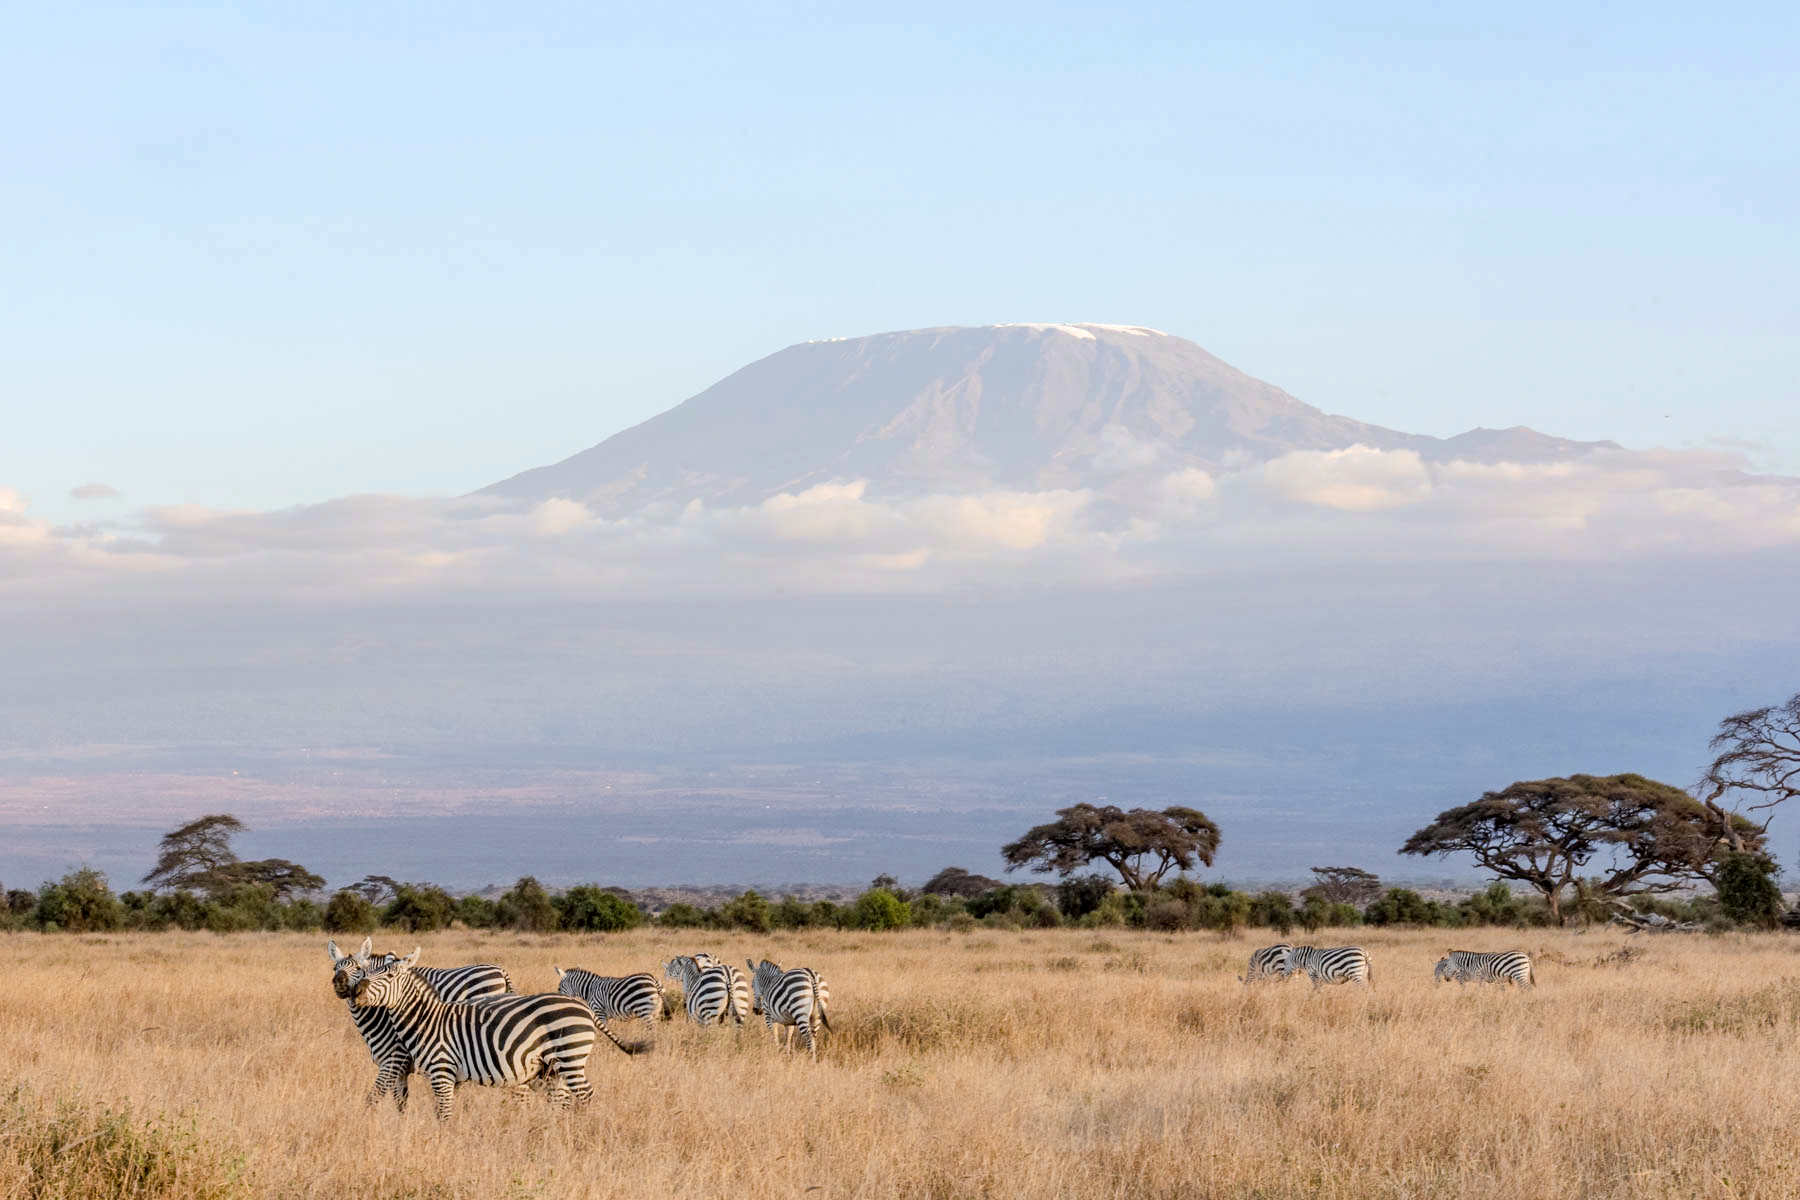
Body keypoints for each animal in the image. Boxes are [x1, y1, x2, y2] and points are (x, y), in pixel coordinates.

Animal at [325, 938, 514, 1113]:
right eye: (334, 968)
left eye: (358, 969)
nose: (339, 981)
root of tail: (502, 972)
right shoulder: (401, 1070)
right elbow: (401, 1103)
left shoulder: (395, 1059)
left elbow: (373, 1099)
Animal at [346, 946, 632, 1121]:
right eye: (366, 973)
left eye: (389, 976)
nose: (355, 992)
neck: (426, 1020)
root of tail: (583, 1007)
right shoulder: (450, 1077)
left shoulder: (439, 1070)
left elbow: (442, 1114)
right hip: (556, 1068)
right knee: (562, 1100)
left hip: (570, 1058)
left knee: (586, 1096)